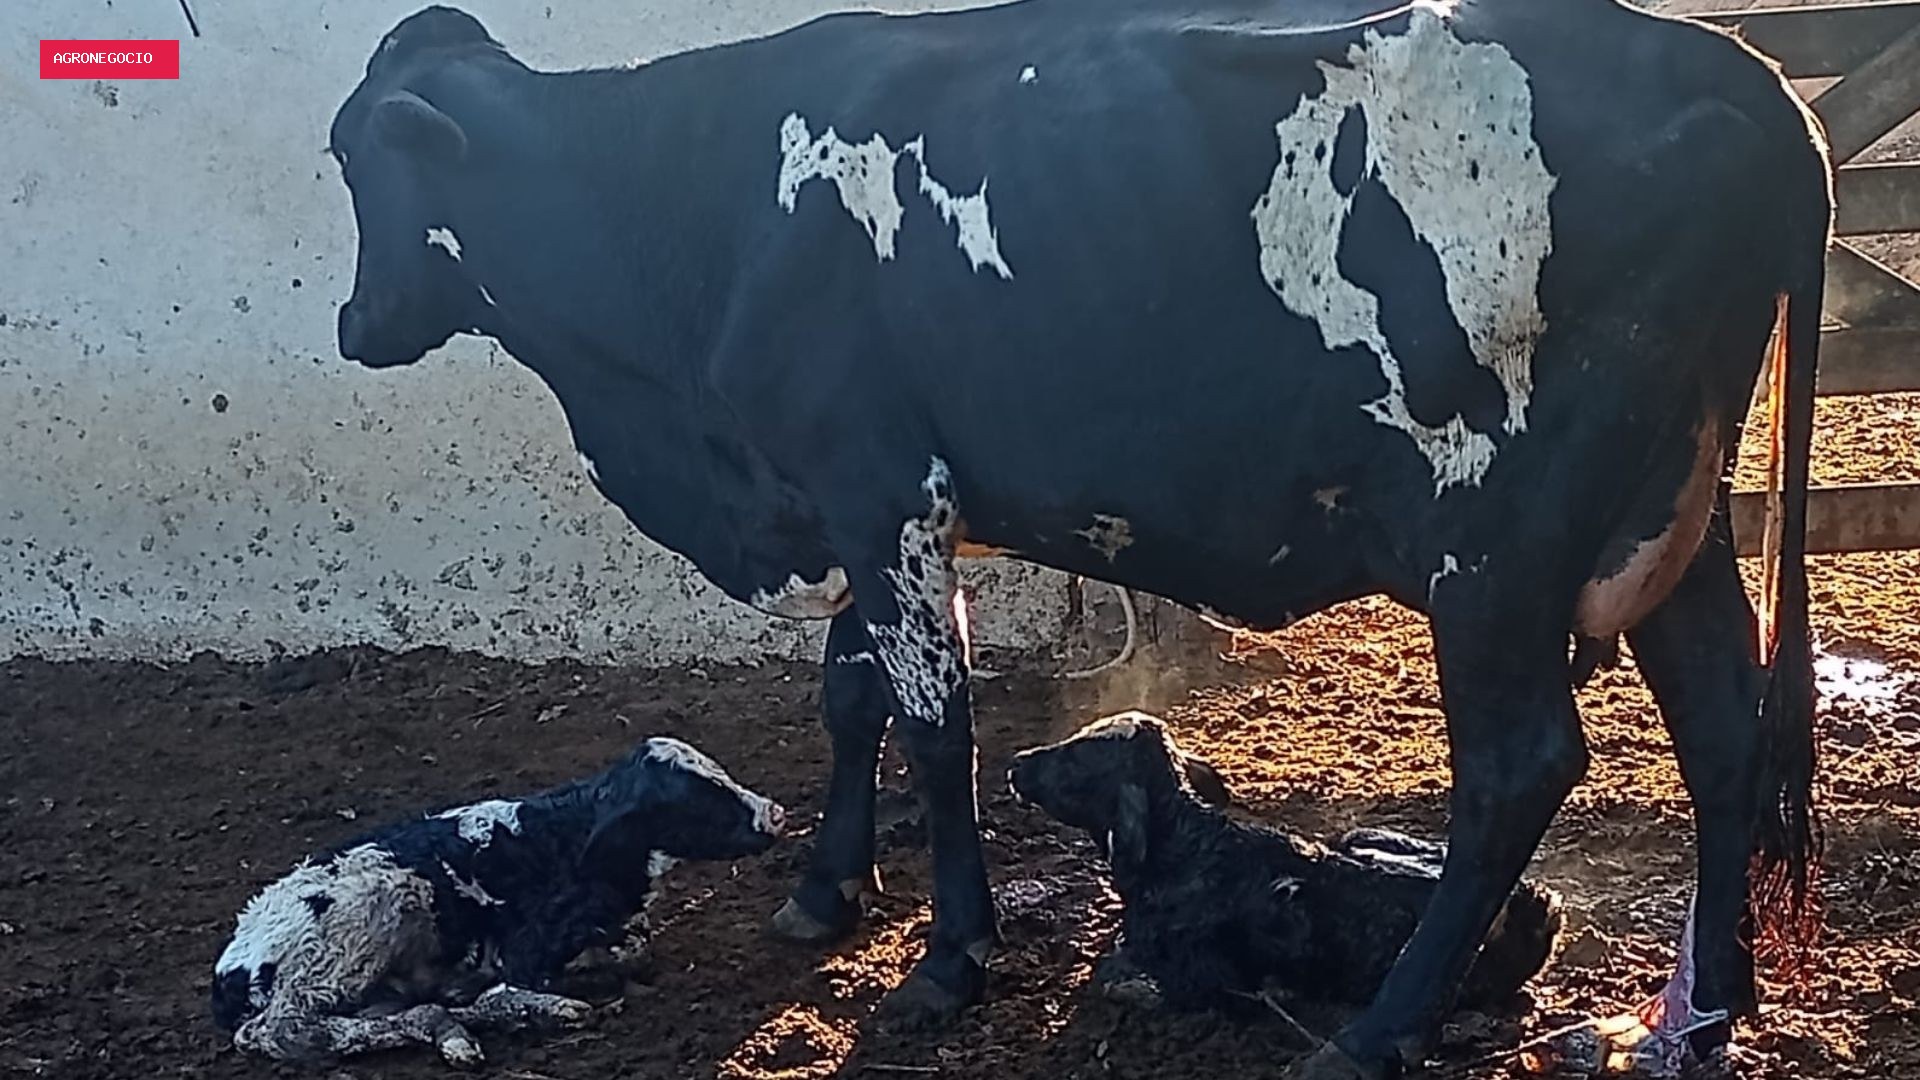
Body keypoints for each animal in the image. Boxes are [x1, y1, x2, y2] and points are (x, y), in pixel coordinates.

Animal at [211, 736, 786, 1065]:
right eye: (698, 801)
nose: (775, 813)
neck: (565, 837)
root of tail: (232, 966)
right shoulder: (523, 950)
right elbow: (516, 982)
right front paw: (549, 1000)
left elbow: (632, 948)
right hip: (360, 923)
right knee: (282, 1031)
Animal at [1008, 711, 1562, 1014]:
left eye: (1077, 757)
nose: (1017, 763)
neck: (1182, 849)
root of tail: (1538, 903)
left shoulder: (1205, 976)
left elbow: (1120, 978)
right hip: (1364, 835)